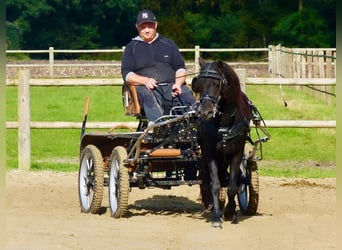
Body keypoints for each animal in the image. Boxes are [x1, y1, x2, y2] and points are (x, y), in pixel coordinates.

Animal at [192, 58, 254, 227]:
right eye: (199, 83)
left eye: (216, 84)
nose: (205, 112)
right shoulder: (210, 152)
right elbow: (215, 184)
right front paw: (216, 216)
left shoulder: (237, 153)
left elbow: (233, 185)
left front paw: (229, 212)